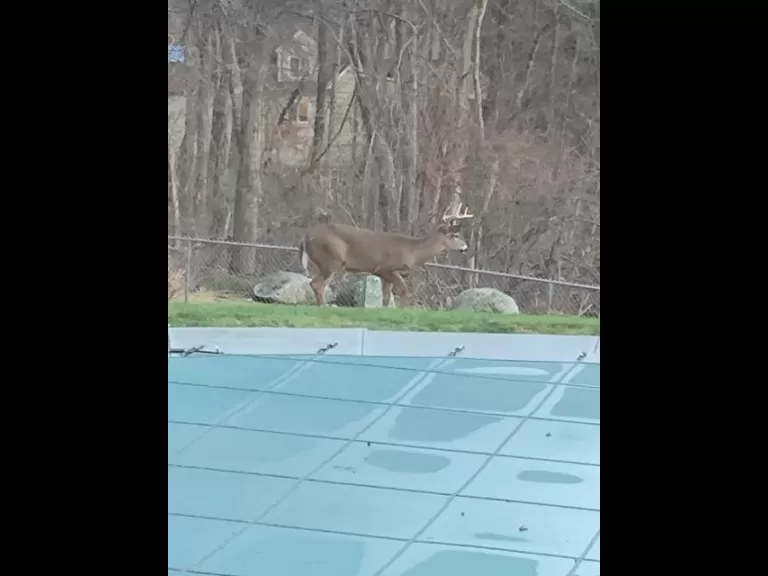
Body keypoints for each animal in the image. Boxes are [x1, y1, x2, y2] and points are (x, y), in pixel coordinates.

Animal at [298, 198, 474, 307]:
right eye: (455, 235)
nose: (466, 248)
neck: (413, 252)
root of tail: (305, 237)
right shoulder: (385, 268)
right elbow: (403, 290)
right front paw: (404, 310)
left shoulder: (385, 276)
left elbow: (386, 298)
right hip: (330, 259)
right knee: (316, 284)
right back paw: (324, 306)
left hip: (329, 264)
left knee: (319, 284)